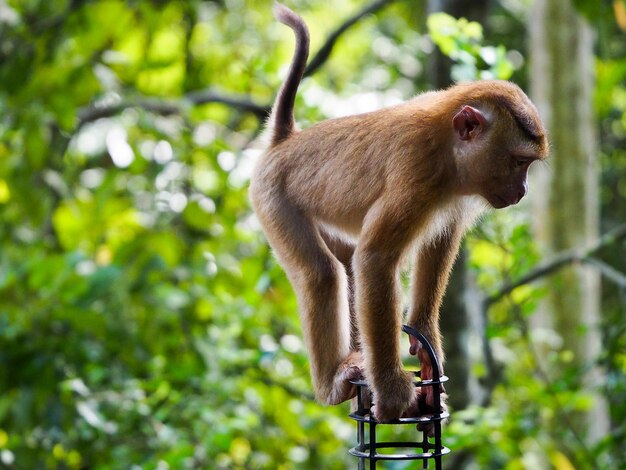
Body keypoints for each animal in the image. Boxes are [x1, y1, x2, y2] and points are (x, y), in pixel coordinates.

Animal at [249, 1, 544, 424]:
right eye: (519, 162)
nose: (522, 192)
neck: (446, 144)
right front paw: (391, 391)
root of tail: (285, 142)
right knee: (322, 273)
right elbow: (376, 258)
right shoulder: (416, 170)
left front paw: (424, 337)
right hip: (273, 197)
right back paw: (331, 385)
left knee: (346, 264)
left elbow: (438, 245)